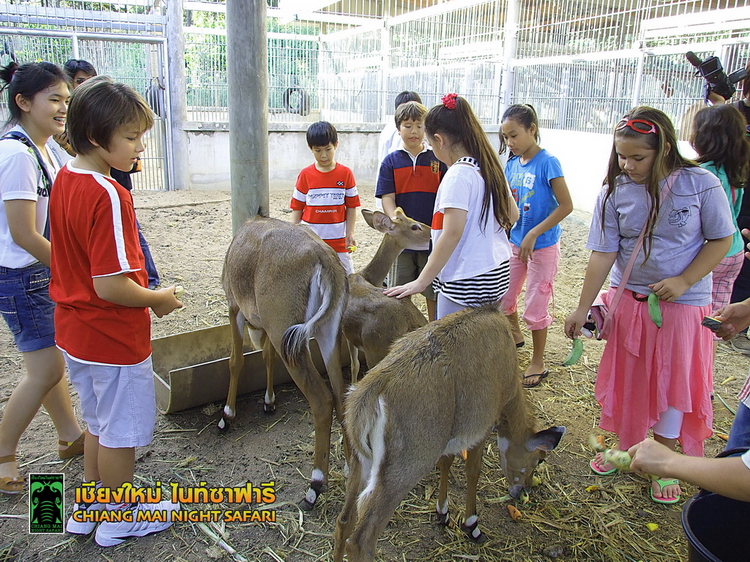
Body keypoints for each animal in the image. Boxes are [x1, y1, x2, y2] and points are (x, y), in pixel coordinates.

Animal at [220, 214, 350, 508]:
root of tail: (323, 259)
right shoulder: (268, 331)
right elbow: (267, 357)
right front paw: (268, 402)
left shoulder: (234, 307)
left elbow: (235, 361)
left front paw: (227, 416)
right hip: (326, 335)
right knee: (341, 395)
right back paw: (350, 467)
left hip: (289, 337)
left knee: (323, 400)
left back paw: (315, 485)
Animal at [334, 306, 564, 560]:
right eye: (538, 459)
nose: (521, 490)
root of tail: (366, 397)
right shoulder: (481, 426)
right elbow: (473, 471)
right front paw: (472, 525)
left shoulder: (449, 438)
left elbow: (446, 462)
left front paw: (442, 512)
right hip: (402, 469)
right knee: (361, 539)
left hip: (361, 461)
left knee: (343, 520)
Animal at [344, 207, 432, 380]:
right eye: (414, 226)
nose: (433, 232)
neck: (367, 276)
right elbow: (354, 364)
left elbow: (354, 364)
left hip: (375, 352)